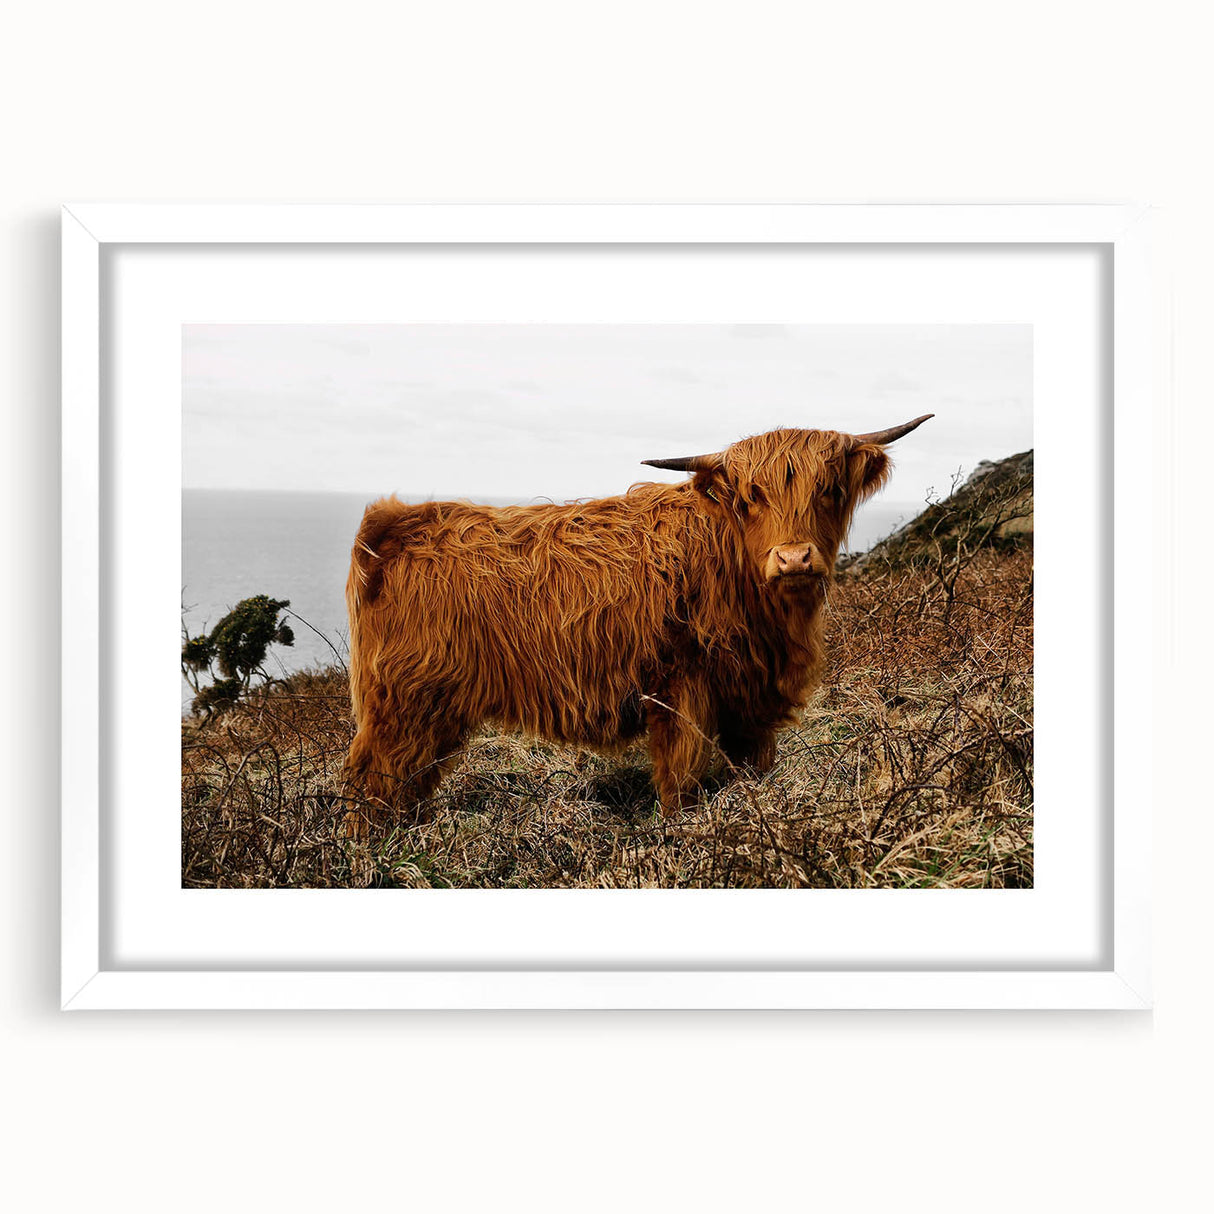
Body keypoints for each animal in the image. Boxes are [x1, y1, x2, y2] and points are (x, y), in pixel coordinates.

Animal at [342, 415, 932, 821]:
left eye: (829, 490)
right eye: (751, 498)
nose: (793, 558)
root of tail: (397, 522)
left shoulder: (750, 701)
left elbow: (751, 770)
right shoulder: (680, 690)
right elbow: (681, 779)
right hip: (406, 703)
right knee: (375, 784)